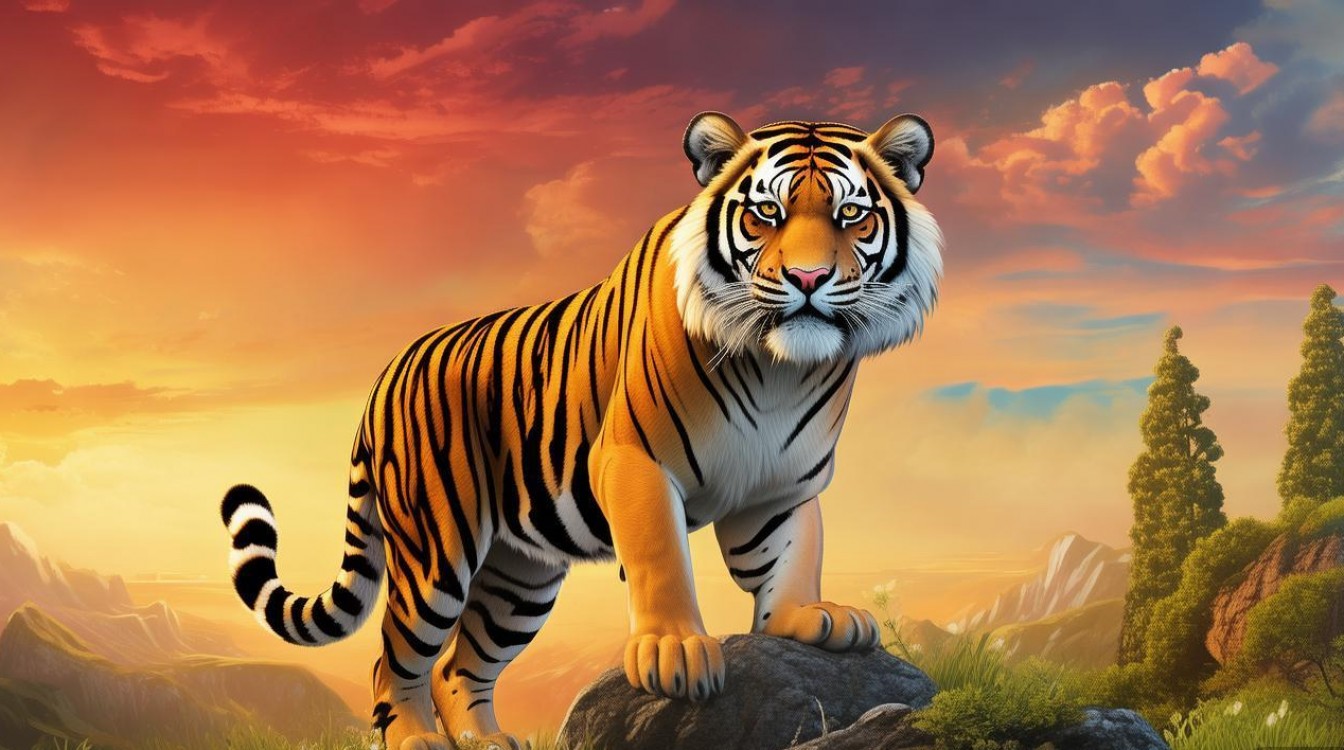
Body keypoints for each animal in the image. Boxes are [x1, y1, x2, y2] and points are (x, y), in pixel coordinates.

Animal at [220, 111, 942, 750]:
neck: (779, 369)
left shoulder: (780, 483)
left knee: (459, 665)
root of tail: (386, 373)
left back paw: (487, 742)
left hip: (520, 579)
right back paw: (416, 739)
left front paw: (806, 618)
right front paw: (673, 650)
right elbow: (660, 555)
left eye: (851, 216)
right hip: (435, 554)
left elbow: (792, 552)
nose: (809, 278)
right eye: (766, 214)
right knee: (394, 658)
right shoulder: (635, 459)